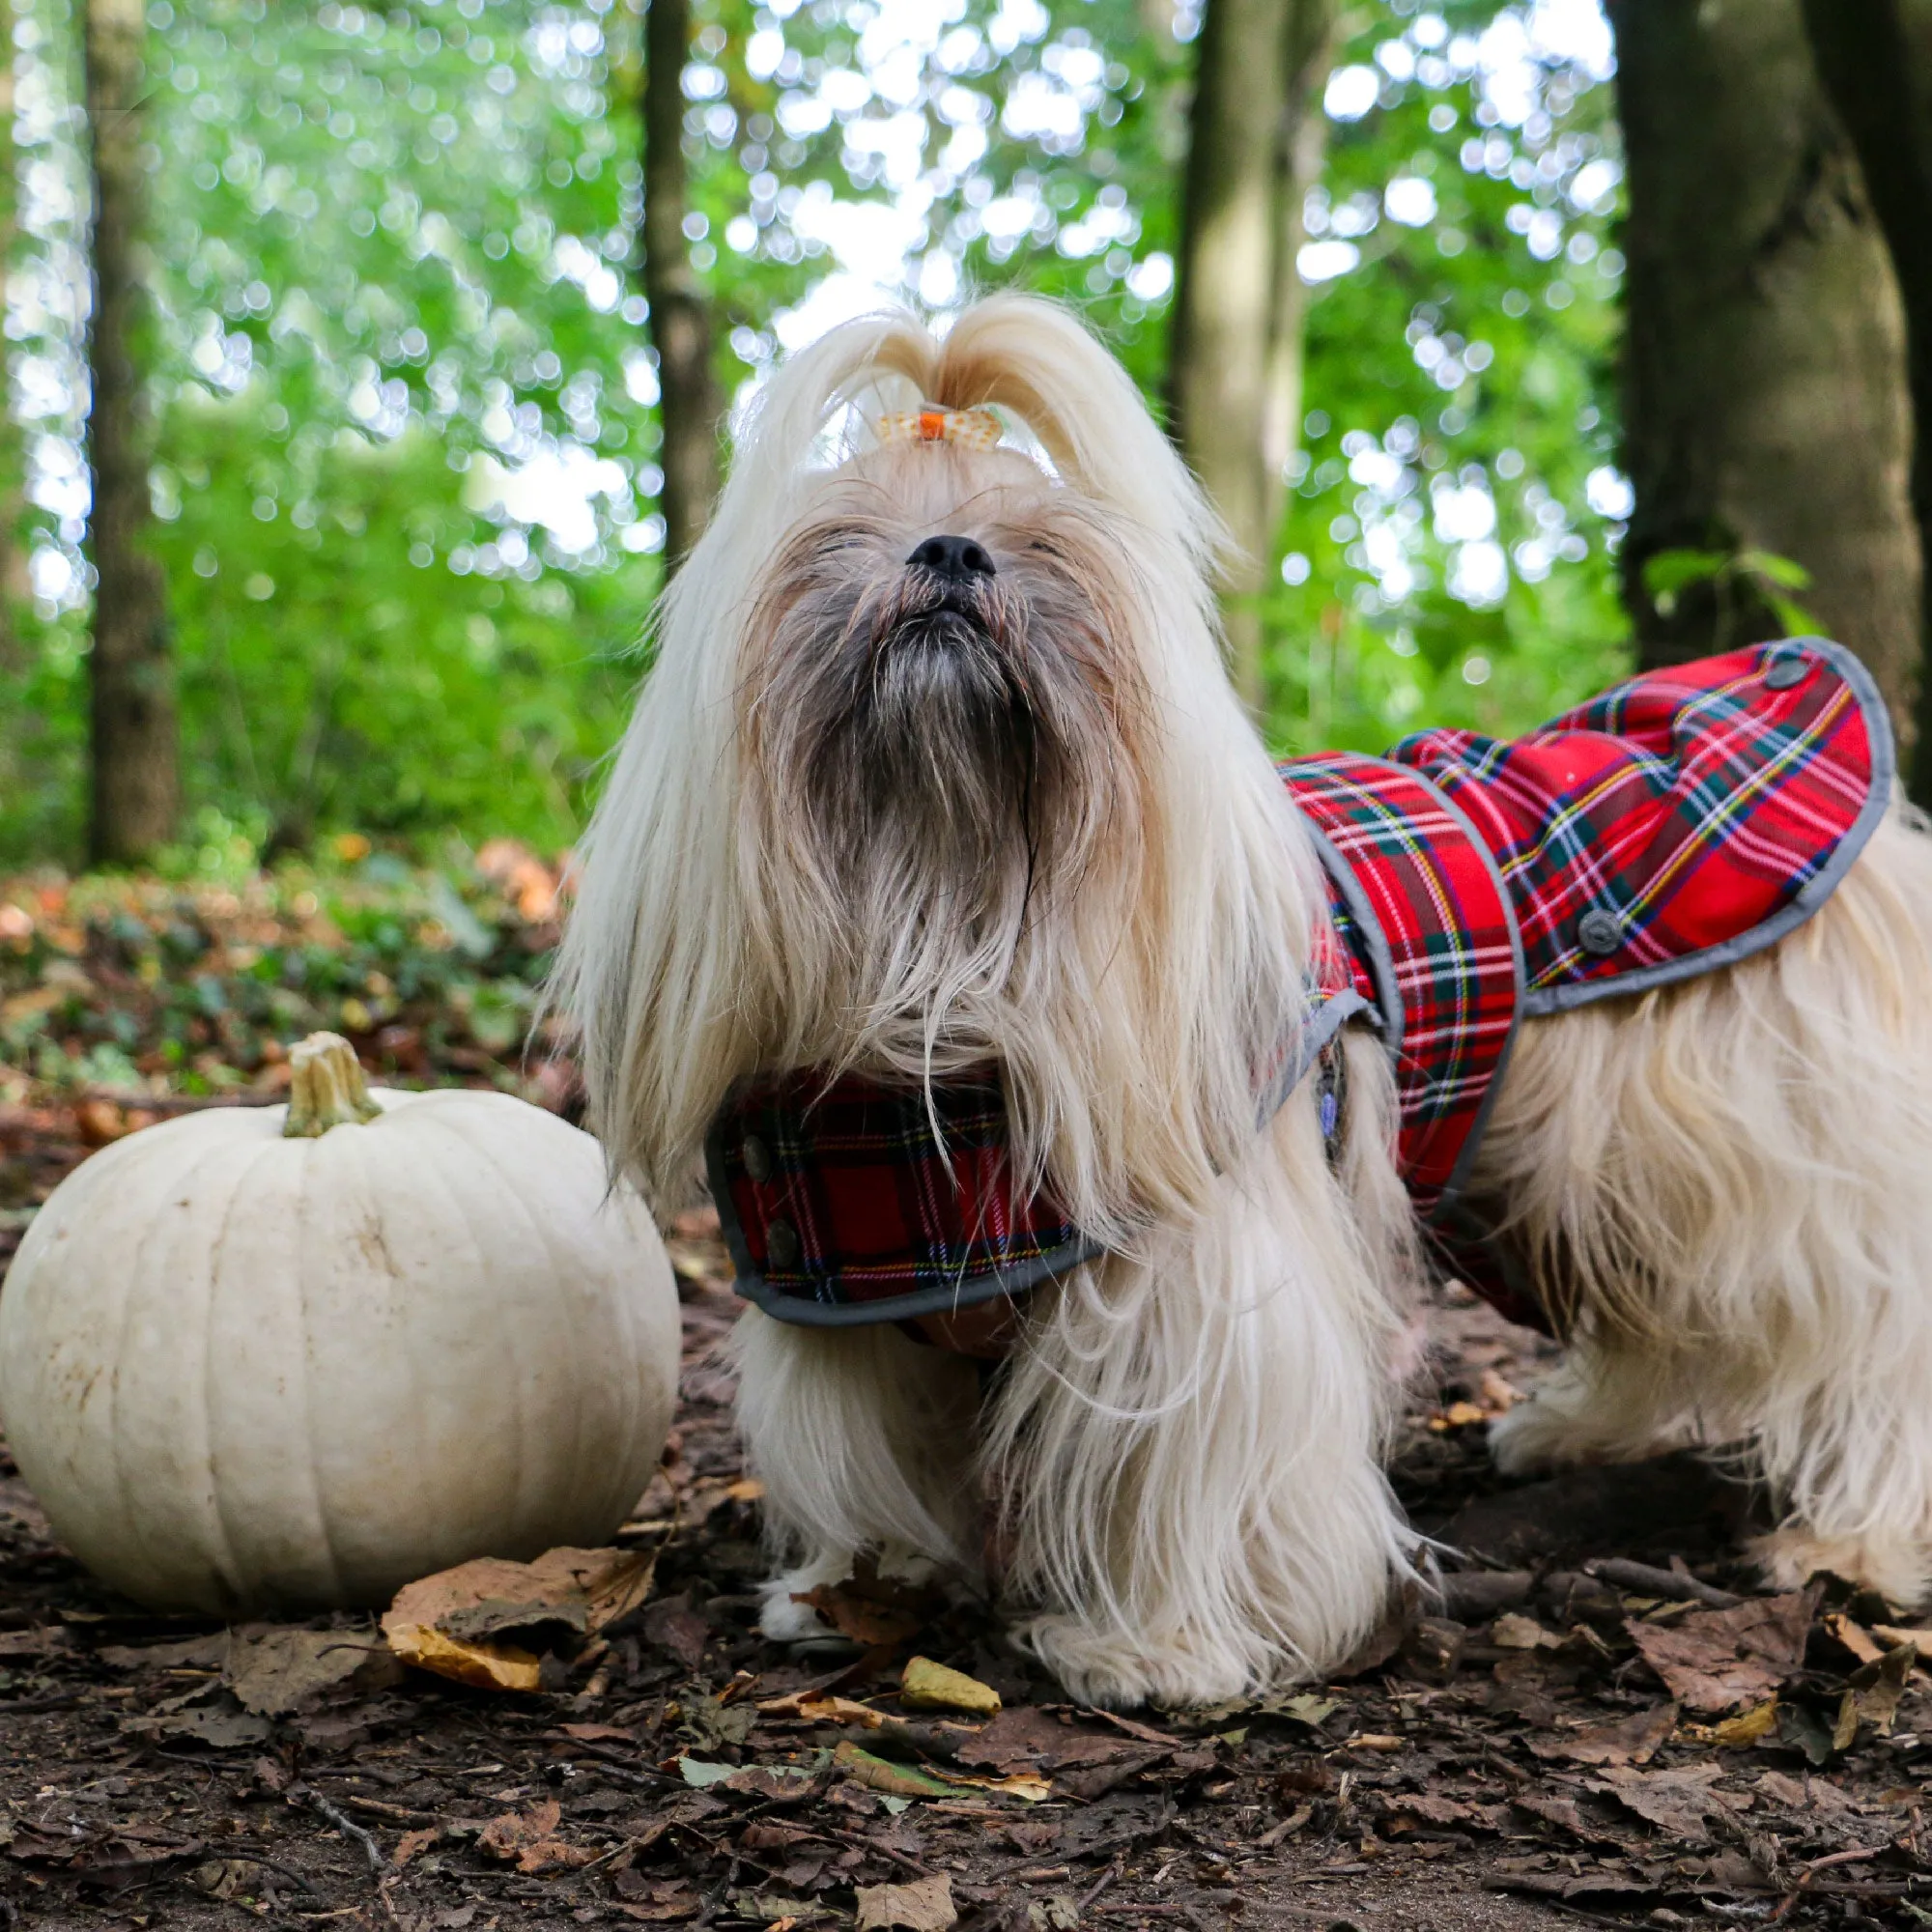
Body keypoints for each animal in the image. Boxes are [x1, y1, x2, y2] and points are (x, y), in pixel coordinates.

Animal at [556, 298, 1932, 1708]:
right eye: (838, 544)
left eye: (1044, 546)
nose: (948, 552)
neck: (943, 922)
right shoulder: (853, 1297)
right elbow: (864, 1442)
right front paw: (860, 1589)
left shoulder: (1195, 1287)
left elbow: (1187, 1461)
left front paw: (1155, 1649)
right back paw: (1575, 1432)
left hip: (1753, 1177)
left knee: (1871, 1342)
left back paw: (1852, 1541)